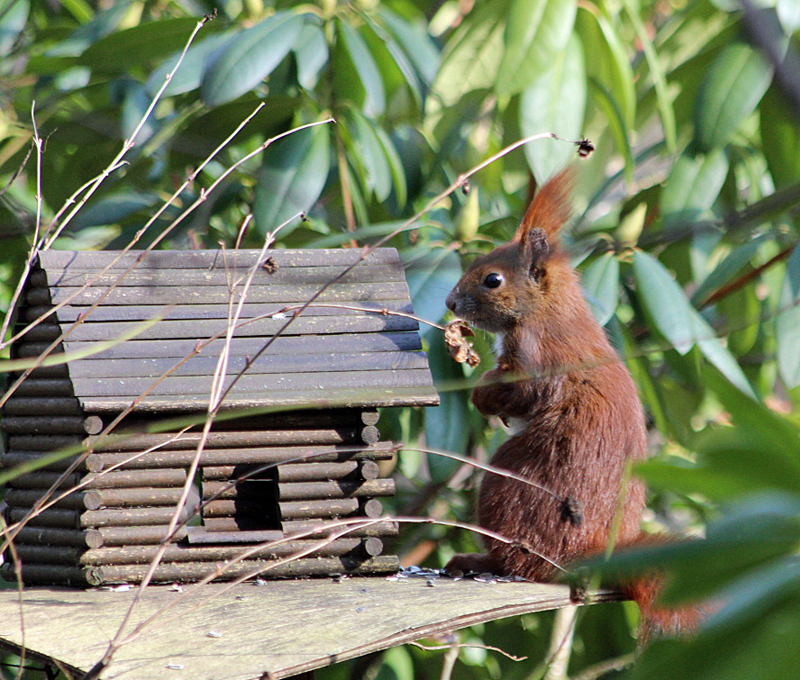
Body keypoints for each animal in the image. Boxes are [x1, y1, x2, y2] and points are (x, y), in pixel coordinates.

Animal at [444, 173, 700, 640]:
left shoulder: (538, 356)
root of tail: (591, 556)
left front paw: (482, 398)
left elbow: (525, 392)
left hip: (510, 486)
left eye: (493, 280)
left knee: (523, 564)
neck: (548, 308)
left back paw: (480, 562)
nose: (451, 303)